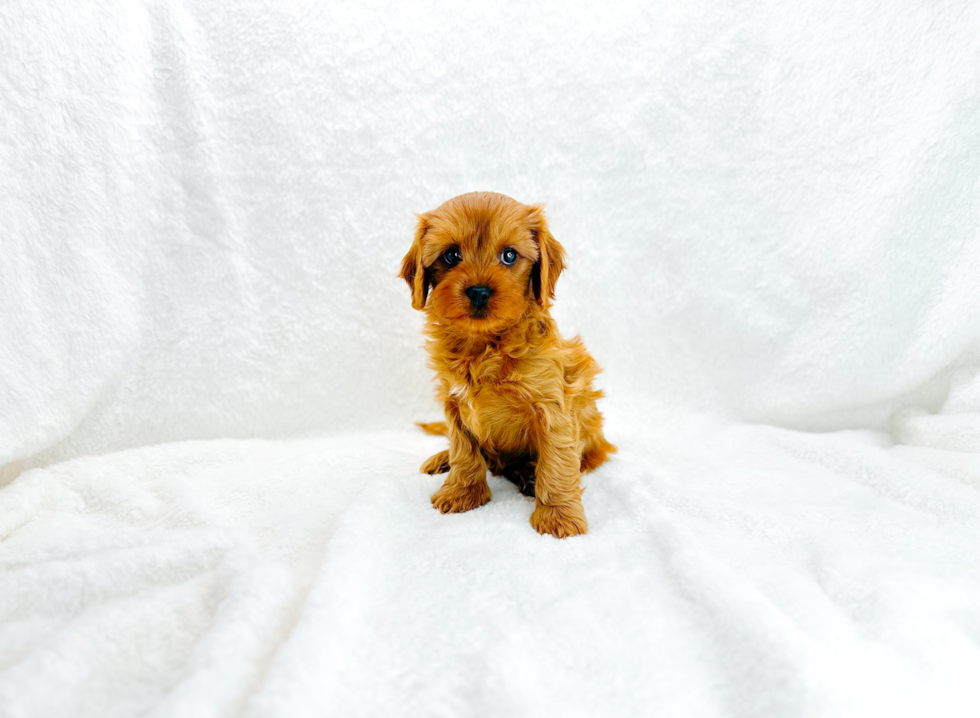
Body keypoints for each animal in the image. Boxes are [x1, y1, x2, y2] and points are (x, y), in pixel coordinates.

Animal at [398, 191, 612, 540]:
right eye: (451, 255)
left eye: (509, 255)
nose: (478, 291)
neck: (485, 344)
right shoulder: (454, 402)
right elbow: (463, 451)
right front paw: (462, 492)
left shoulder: (553, 407)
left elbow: (557, 461)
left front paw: (558, 515)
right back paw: (445, 459)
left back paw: (528, 475)